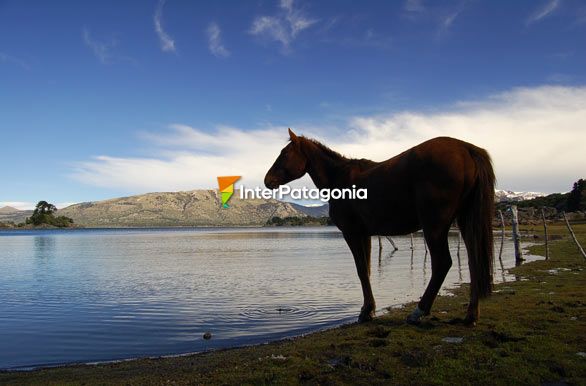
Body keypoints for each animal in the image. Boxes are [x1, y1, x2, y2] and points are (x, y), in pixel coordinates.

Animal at [264, 130, 492, 326]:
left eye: (284, 154)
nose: (267, 180)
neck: (338, 178)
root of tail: (466, 149)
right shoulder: (364, 235)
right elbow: (367, 270)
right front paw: (369, 308)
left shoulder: (352, 233)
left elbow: (361, 271)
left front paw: (366, 311)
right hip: (464, 221)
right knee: (474, 261)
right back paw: (471, 315)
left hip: (434, 225)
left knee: (442, 263)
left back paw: (419, 311)